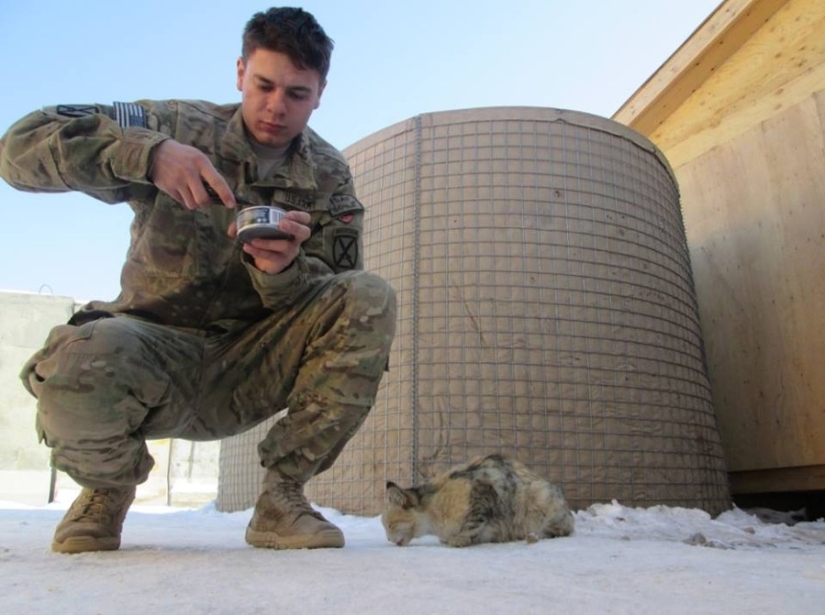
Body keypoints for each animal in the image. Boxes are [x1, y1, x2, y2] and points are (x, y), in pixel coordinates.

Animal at [380, 452, 572, 548]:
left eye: (390, 525)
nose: (388, 539)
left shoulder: (483, 491)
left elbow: (472, 524)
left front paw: (459, 539)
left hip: (540, 499)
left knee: (559, 531)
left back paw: (531, 536)